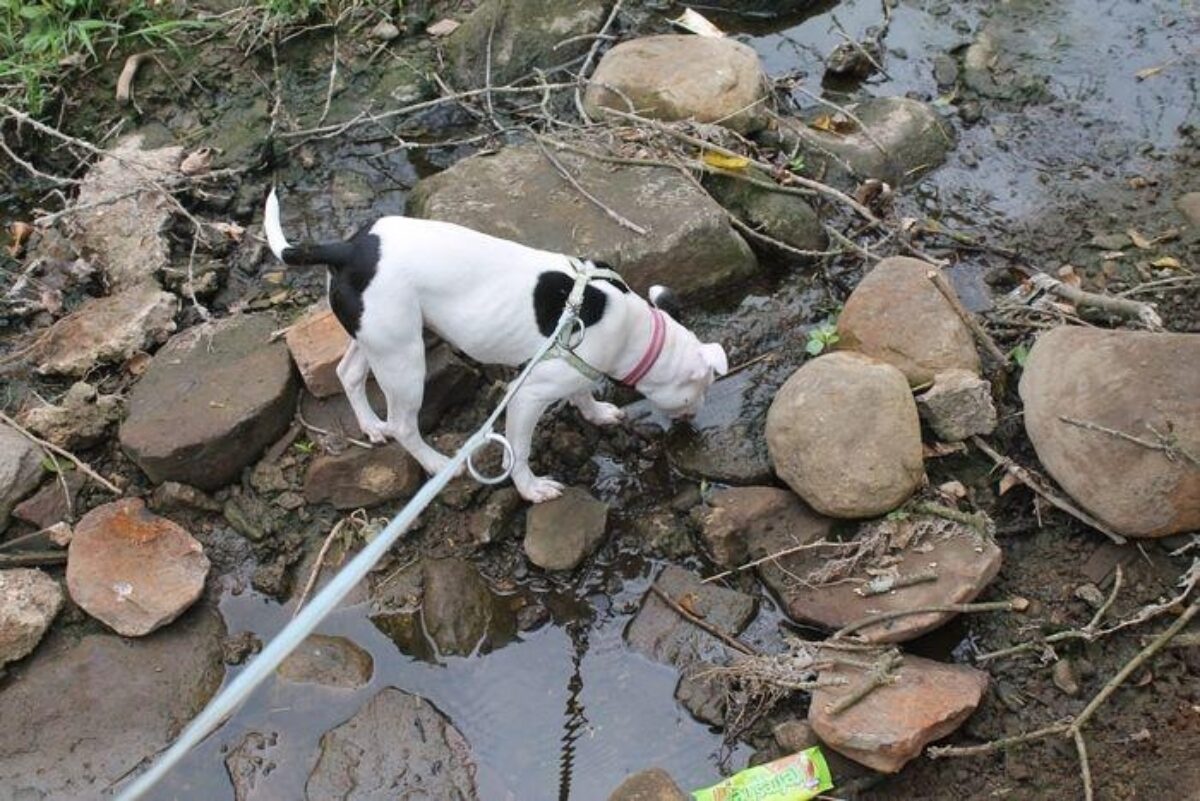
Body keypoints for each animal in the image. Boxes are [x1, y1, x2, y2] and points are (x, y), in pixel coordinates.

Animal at [264, 190, 724, 501]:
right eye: (701, 389)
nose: (699, 412)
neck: (635, 327)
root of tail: (348, 248)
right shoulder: (528, 396)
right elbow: (519, 450)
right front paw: (531, 488)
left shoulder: (573, 367)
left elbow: (582, 392)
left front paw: (596, 413)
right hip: (404, 361)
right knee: (404, 424)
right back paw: (433, 463)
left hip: (378, 336)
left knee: (349, 373)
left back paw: (371, 426)